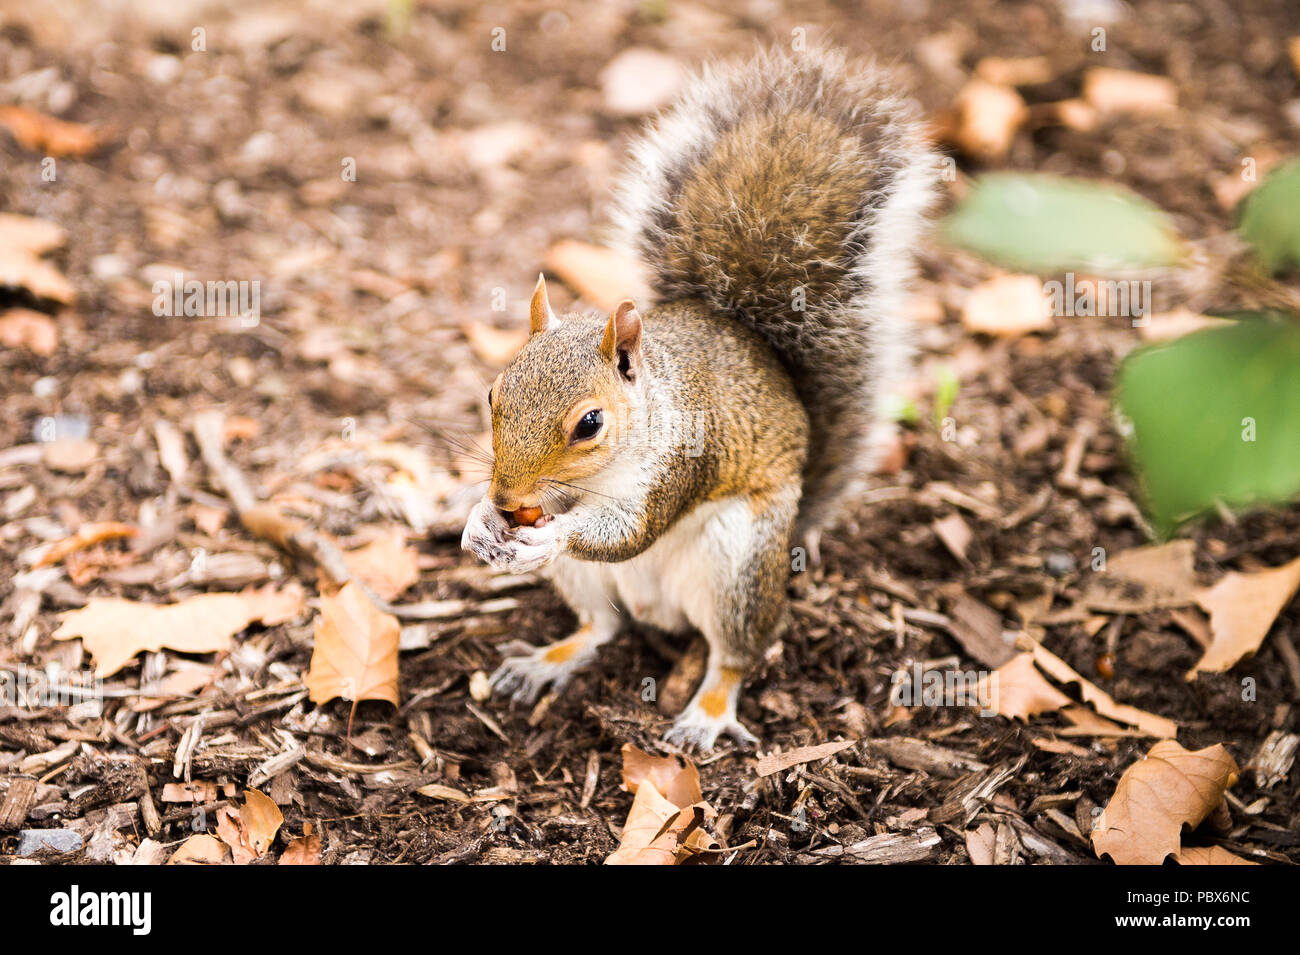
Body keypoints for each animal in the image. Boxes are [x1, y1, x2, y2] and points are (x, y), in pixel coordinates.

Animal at [462, 48, 939, 751]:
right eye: (493, 393)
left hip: (737, 565)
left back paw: (705, 713)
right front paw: (478, 521)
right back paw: (547, 661)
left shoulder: (685, 460)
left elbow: (626, 531)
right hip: (596, 586)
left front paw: (552, 533)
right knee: (602, 627)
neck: (651, 408)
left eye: (590, 423)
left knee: (735, 653)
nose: (505, 498)